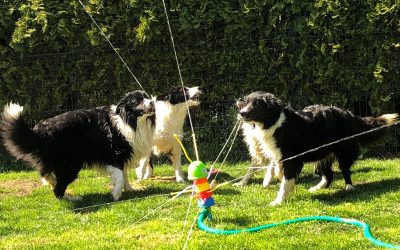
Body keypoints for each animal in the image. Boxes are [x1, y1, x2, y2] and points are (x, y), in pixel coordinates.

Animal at [236, 91, 398, 205]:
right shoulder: (279, 156)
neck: (275, 121)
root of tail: (350, 114)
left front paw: (279, 200)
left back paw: (349, 187)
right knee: (329, 174)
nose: (241, 113)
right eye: (246, 102)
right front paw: (285, 186)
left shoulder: (291, 159)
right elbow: (278, 172)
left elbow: (285, 180)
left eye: (257, 104)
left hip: (342, 150)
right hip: (322, 153)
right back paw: (317, 188)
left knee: (345, 169)